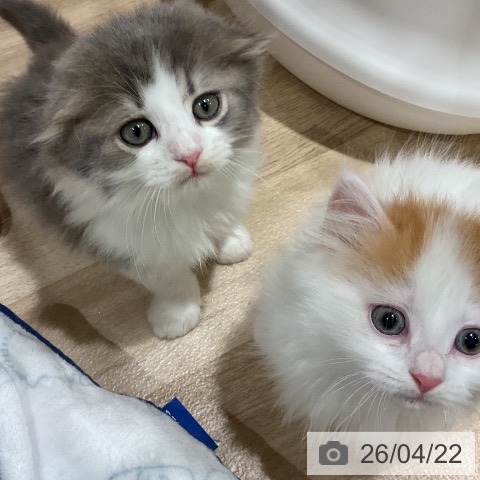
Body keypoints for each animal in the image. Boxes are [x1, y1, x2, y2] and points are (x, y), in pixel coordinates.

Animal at [0, 0, 266, 338]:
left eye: (206, 106)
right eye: (136, 132)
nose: (190, 155)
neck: (186, 200)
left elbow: (223, 215)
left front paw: (229, 239)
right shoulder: (105, 234)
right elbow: (165, 276)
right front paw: (177, 311)